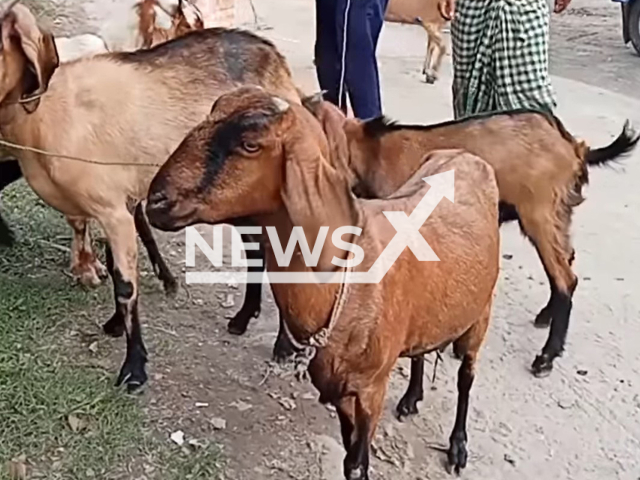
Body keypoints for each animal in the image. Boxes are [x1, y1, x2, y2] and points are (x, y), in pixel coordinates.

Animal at [0, 3, 300, 392]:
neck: (46, 112)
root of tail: (273, 56)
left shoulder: (112, 208)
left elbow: (125, 285)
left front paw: (135, 369)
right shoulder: (116, 202)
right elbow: (115, 265)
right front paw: (115, 324)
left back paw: (282, 343)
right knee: (256, 247)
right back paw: (244, 317)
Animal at [146, 87, 504, 480]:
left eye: (250, 144)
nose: (156, 200)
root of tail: (467, 156)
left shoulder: (370, 390)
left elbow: (358, 464)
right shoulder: (340, 391)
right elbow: (348, 459)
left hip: (480, 314)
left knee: (466, 376)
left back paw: (457, 446)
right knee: (422, 349)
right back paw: (412, 397)